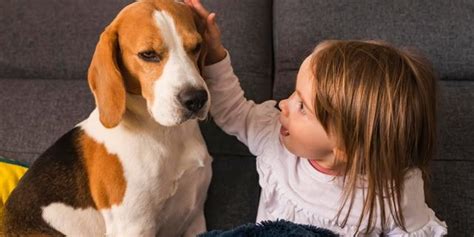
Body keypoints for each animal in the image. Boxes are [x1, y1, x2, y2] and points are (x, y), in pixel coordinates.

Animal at [1, 0, 213, 236]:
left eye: (196, 46)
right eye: (148, 54)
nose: (196, 99)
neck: (166, 133)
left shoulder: (195, 219)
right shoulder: (134, 225)